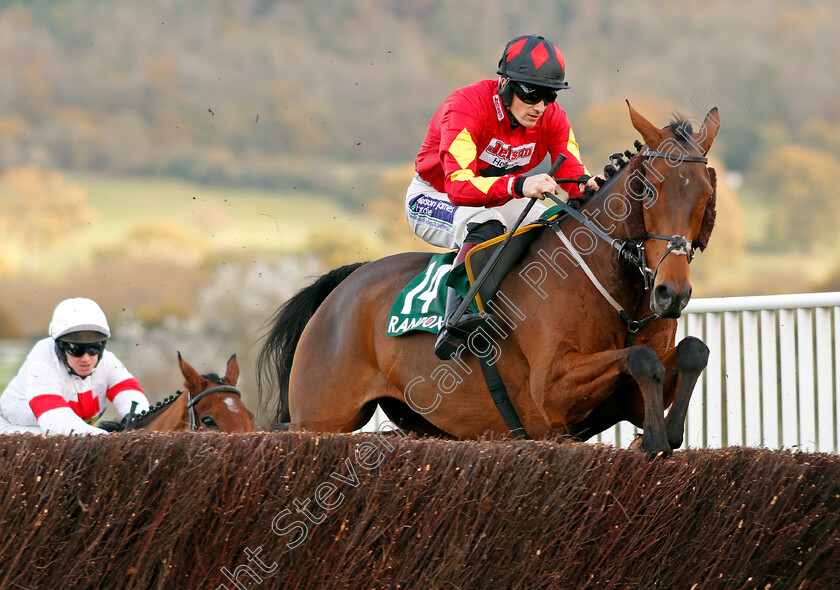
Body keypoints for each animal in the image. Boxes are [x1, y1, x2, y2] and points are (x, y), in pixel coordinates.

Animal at [258, 104, 720, 458]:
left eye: (705, 195)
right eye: (649, 189)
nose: (672, 293)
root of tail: (342, 287)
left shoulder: (624, 399)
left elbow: (690, 351)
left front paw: (663, 433)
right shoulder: (552, 394)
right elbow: (641, 358)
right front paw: (655, 440)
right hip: (323, 417)